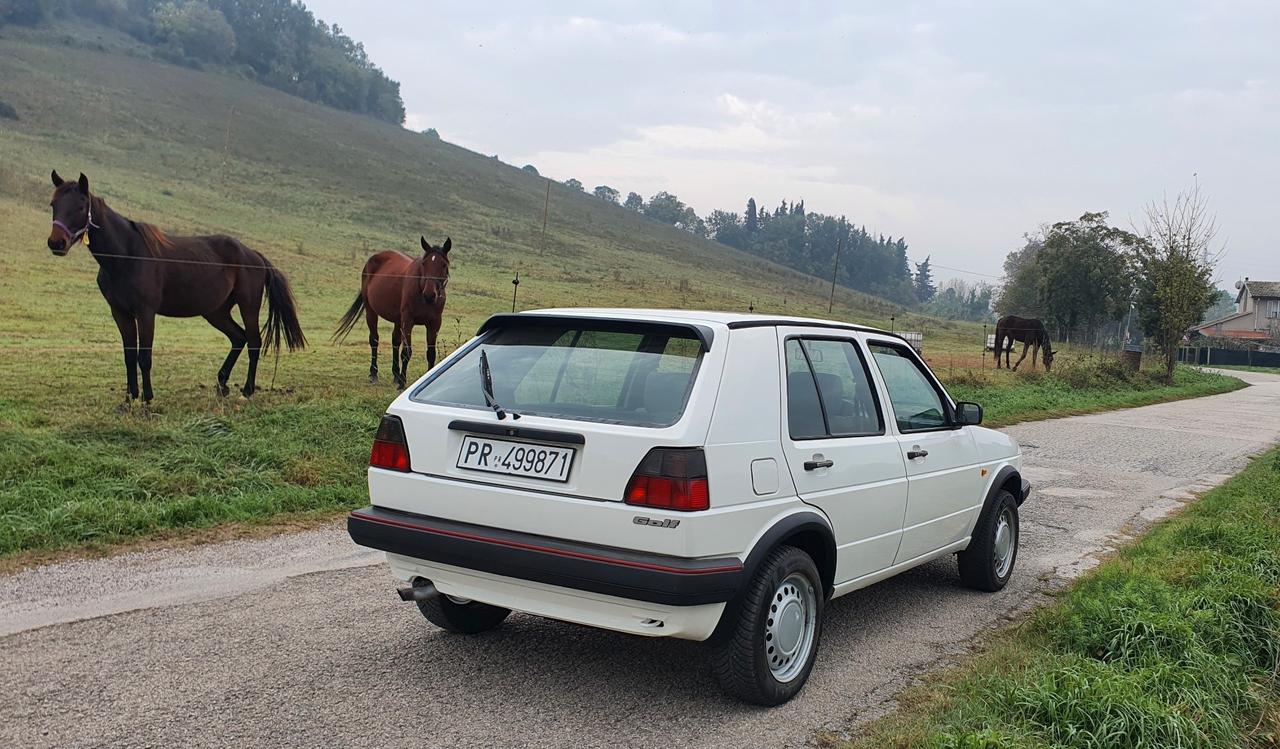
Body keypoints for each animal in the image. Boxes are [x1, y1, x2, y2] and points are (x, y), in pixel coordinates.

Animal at [45, 170, 307, 402]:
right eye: (53, 205)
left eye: (80, 207)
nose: (56, 243)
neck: (126, 257)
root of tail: (254, 255)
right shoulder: (120, 313)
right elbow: (129, 356)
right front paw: (130, 397)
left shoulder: (145, 313)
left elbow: (144, 357)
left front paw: (148, 398)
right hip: (216, 312)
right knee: (238, 338)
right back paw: (221, 383)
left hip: (247, 306)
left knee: (253, 342)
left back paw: (247, 391)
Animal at [332, 238, 453, 391]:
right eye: (424, 264)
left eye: (444, 265)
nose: (430, 294)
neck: (421, 289)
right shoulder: (408, 321)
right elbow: (406, 352)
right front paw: (402, 383)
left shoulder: (434, 323)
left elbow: (431, 354)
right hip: (371, 311)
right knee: (374, 339)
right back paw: (374, 374)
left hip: (397, 319)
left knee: (395, 341)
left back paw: (396, 375)